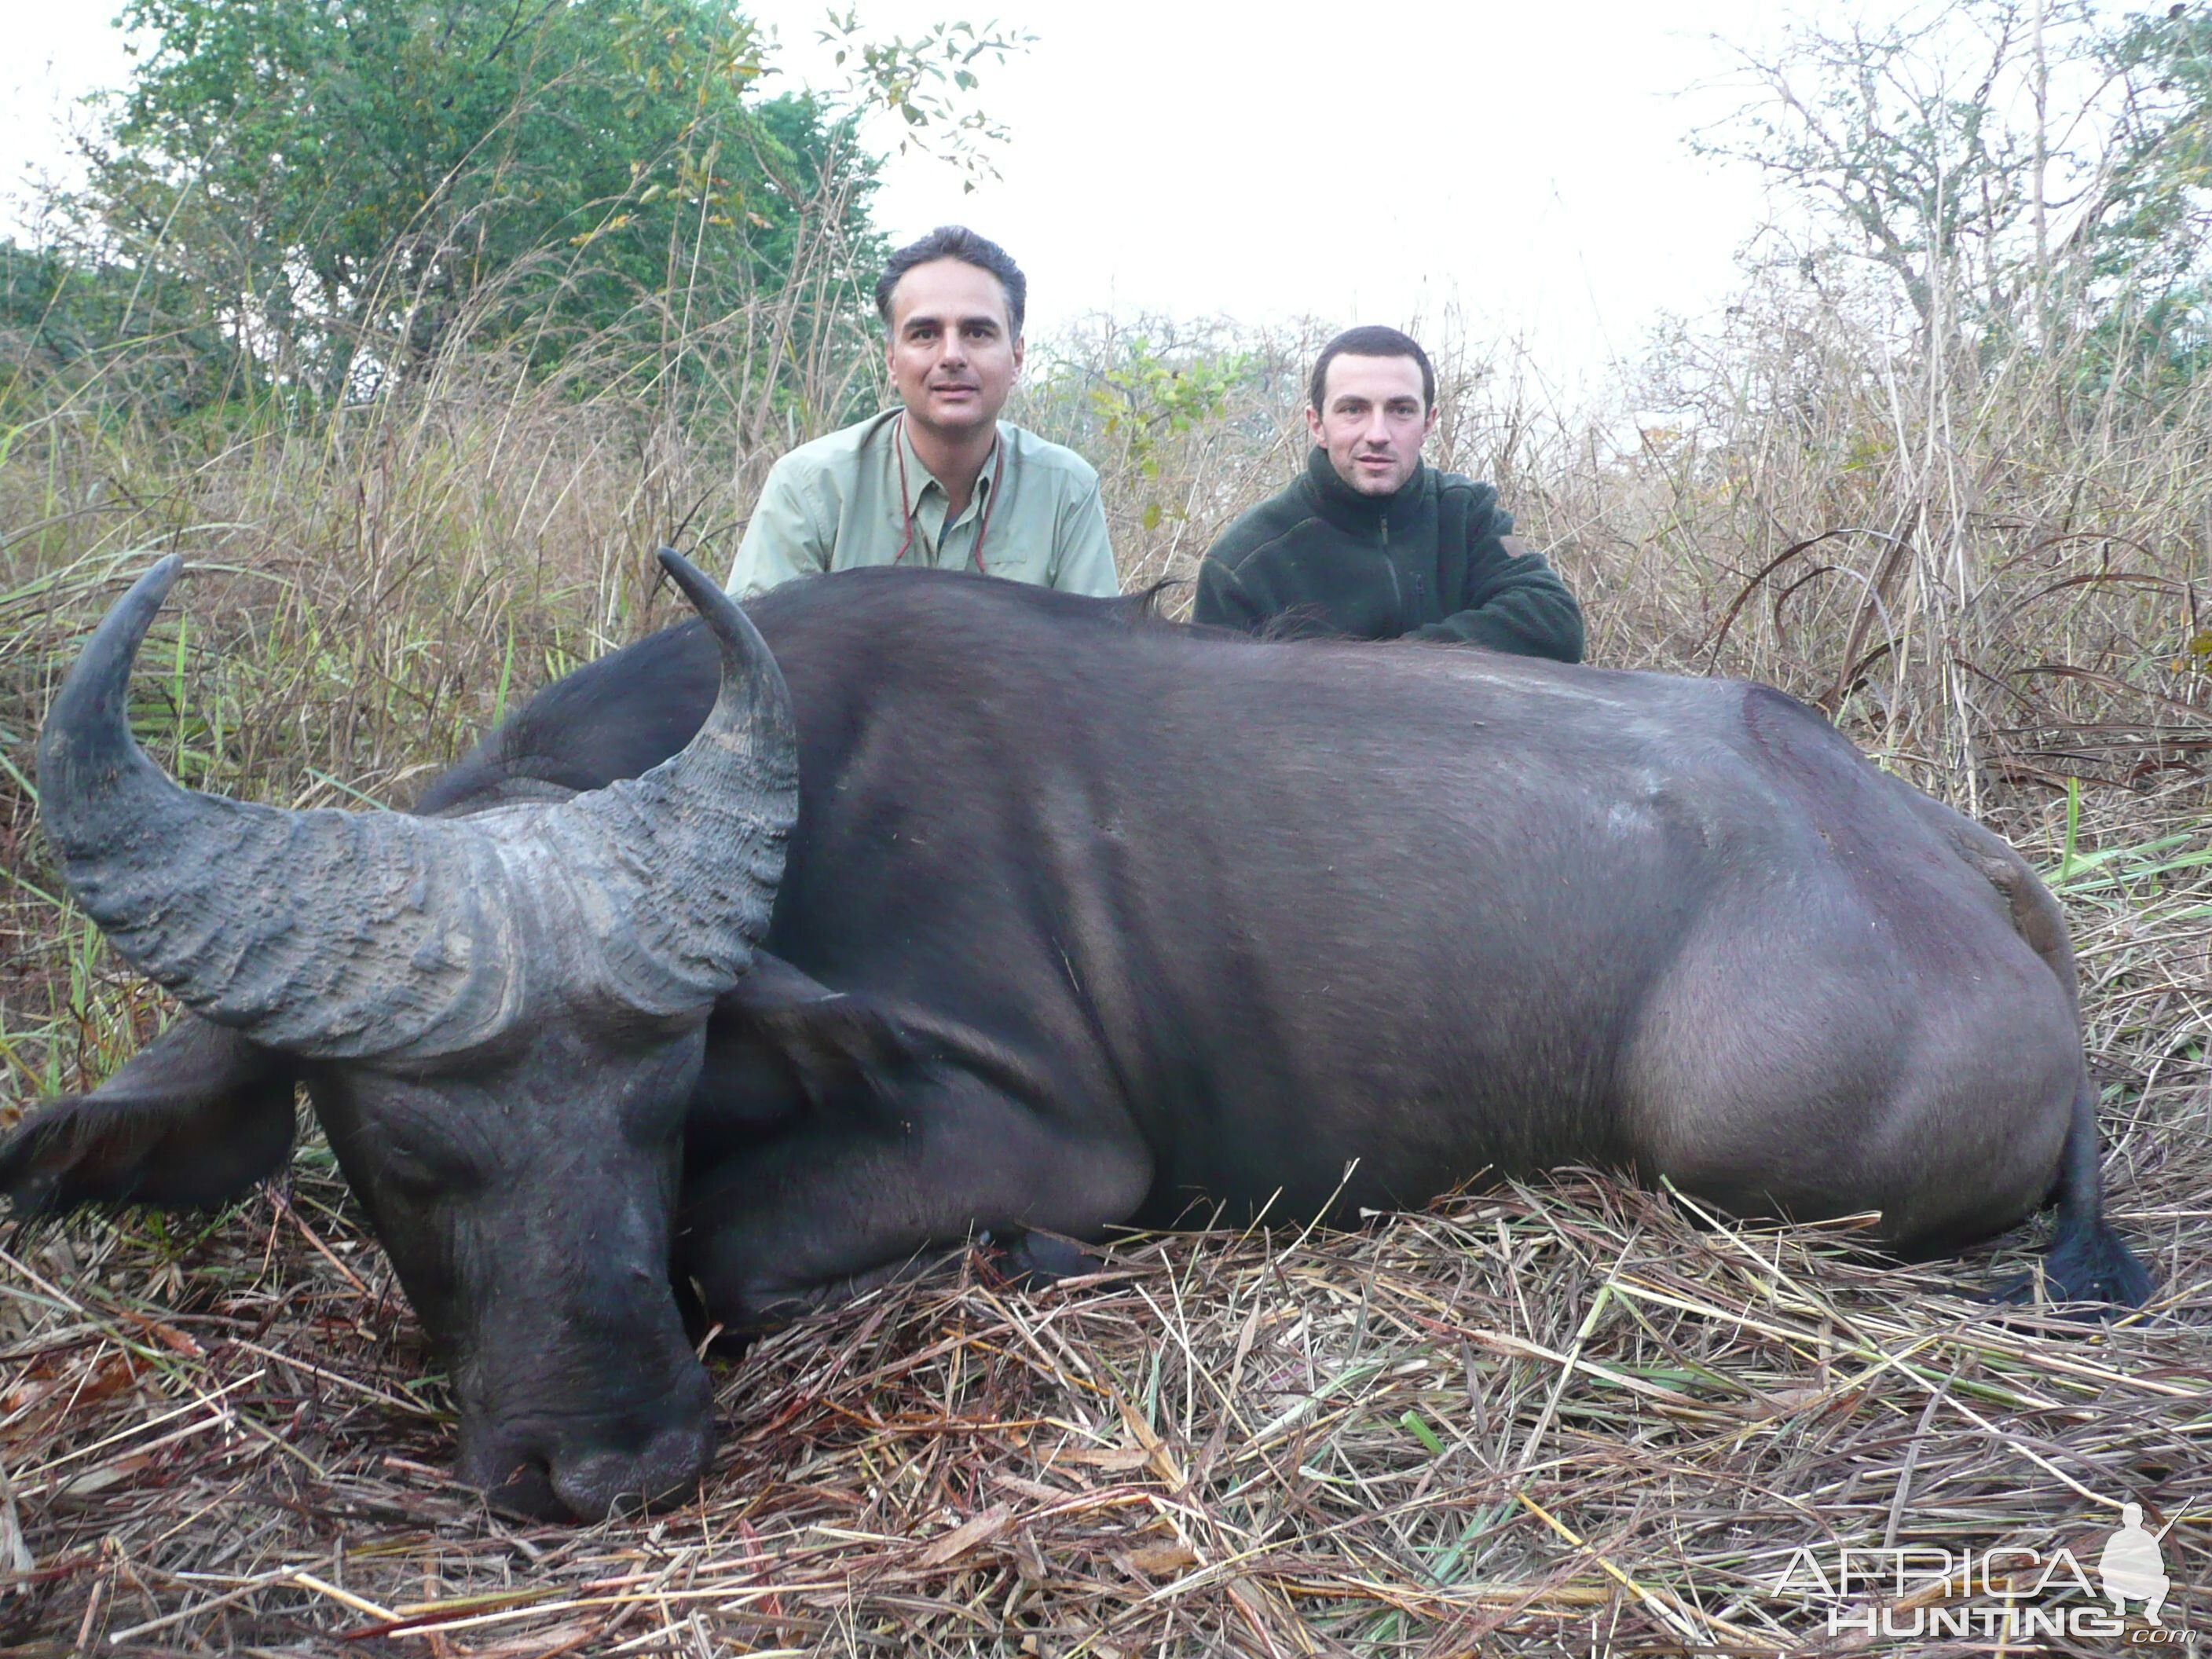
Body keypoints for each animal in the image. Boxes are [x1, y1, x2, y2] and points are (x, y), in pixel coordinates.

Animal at [0, 548, 2141, 1522]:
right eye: (389, 1142)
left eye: (662, 1101)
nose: (610, 1463)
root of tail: (1944, 849)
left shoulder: (1044, 1140)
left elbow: (728, 1246)